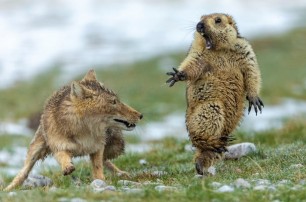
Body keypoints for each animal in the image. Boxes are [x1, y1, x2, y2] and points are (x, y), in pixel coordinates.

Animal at [3, 69, 142, 191]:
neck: (84, 132)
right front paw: (67, 167)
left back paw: (121, 173)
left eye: (117, 100)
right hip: (35, 150)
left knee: (106, 160)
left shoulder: (97, 147)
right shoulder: (59, 147)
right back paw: (8, 188)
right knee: (23, 172)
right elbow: (63, 157)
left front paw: (101, 181)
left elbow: (98, 167)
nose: (140, 115)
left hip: (115, 147)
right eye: (113, 102)